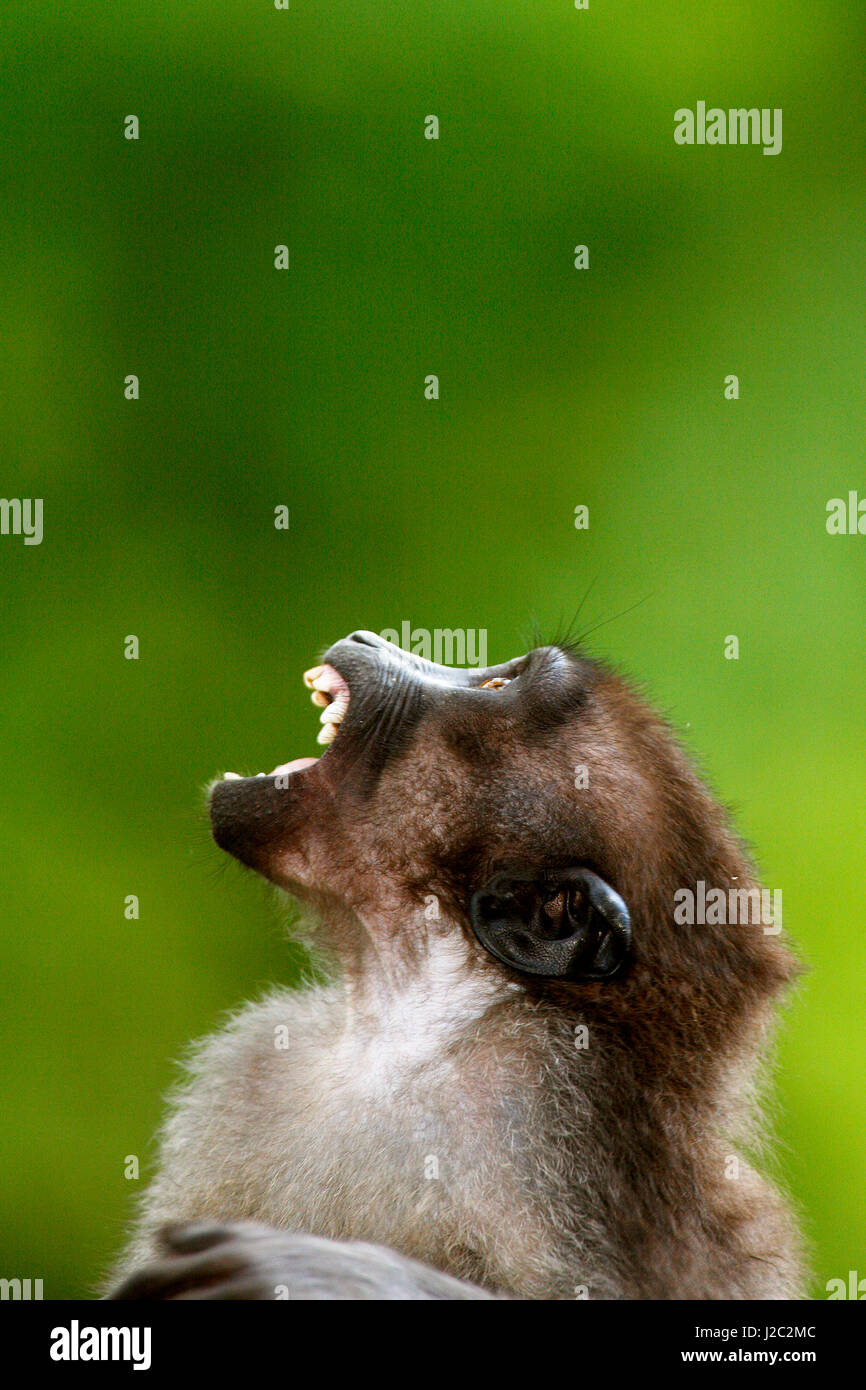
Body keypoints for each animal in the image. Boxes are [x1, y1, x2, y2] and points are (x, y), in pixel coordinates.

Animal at [107, 636, 806, 1295]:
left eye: (499, 686)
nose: (370, 639)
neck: (410, 1025)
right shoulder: (252, 1060)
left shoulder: (542, 1104)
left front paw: (340, 1276)